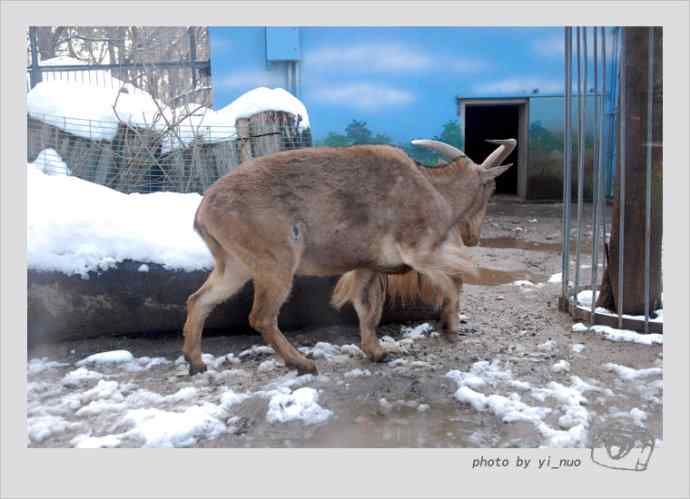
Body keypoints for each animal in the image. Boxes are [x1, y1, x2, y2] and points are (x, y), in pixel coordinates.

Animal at [180, 137, 512, 376]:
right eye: (491, 188)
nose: (472, 236)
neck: (432, 188)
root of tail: (203, 211)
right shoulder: (420, 253)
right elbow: (455, 283)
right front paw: (451, 326)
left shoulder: (367, 267)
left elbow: (368, 309)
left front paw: (377, 352)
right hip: (274, 266)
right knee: (261, 317)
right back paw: (302, 363)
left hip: (235, 267)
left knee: (199, 300)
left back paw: (196, 362)